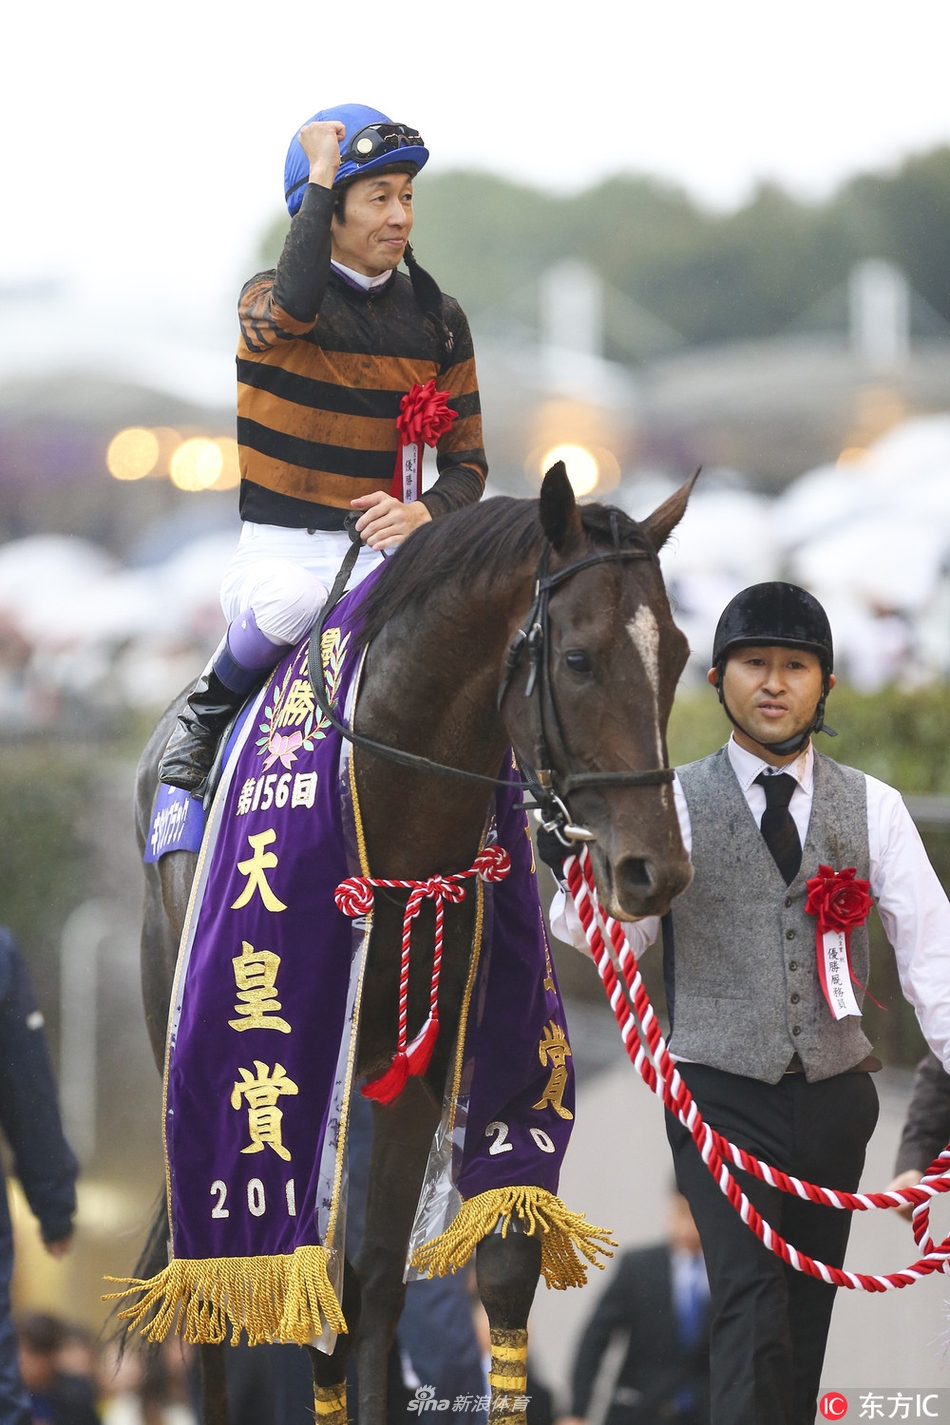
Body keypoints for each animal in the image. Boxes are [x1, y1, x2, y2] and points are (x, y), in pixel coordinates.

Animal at [133, 467, 695, 1425]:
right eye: (579, 659)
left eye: (684, 654)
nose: (653, 867)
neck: (398, 812)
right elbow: (303, 1283)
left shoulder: (427, 1067)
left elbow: (438, 1272)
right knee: (215, 1289)